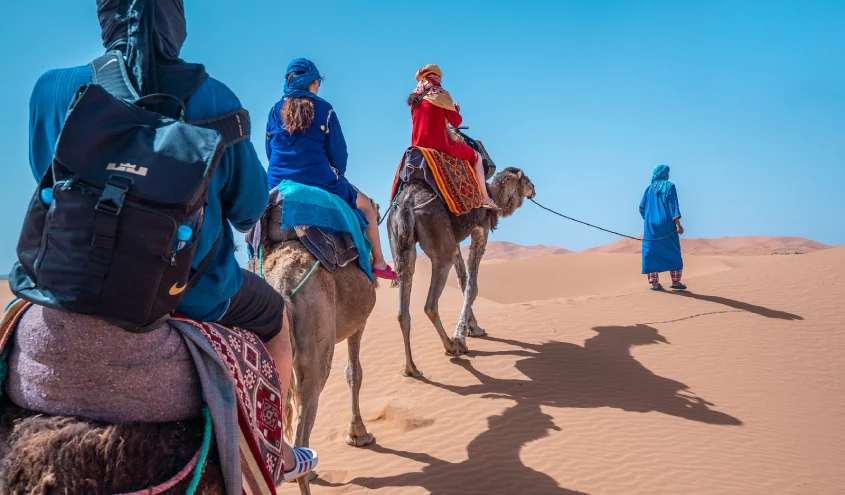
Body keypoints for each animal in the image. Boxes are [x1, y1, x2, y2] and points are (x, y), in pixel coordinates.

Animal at [388, 166, 536, 376]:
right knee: (430, 305)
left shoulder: (456, 241)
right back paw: (451, 346)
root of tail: (407, 204)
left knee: (402, 311)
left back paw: (411, 369)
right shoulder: (480, 229)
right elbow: (472, 286)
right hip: (440, 244)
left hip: (400, 246)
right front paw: (461, 336)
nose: (534, 189)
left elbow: (462, 280)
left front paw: (473, 328)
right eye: (526, 180)